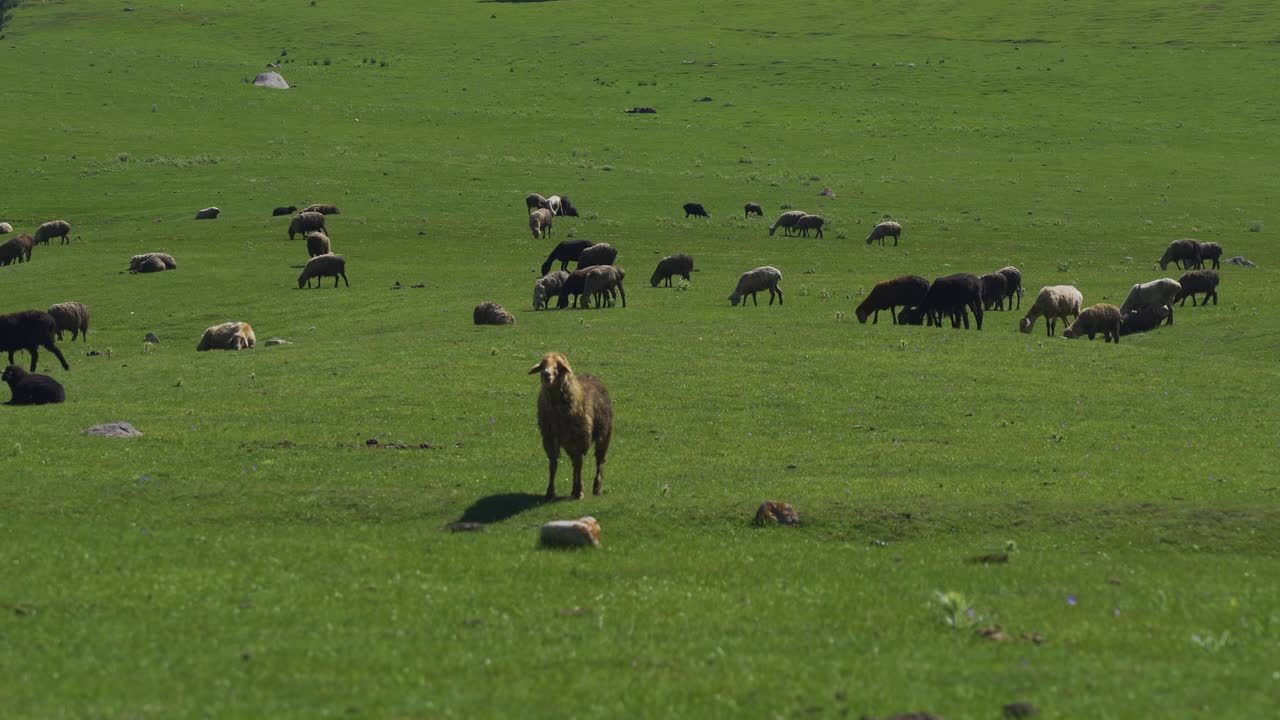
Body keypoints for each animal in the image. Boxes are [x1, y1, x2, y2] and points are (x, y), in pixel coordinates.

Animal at [527, 348, 611, 497]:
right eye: (543, 364)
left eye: (559, 366)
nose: (546, 374)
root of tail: (591, 376)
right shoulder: (550, 437)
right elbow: (553, 464)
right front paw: (550, 492)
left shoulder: (581, 438)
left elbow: (580, 464)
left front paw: (580, 491)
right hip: (569, 444)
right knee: (574, 464)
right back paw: (573, 488)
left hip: (604, 435)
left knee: (599, 461)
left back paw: (596, 487)